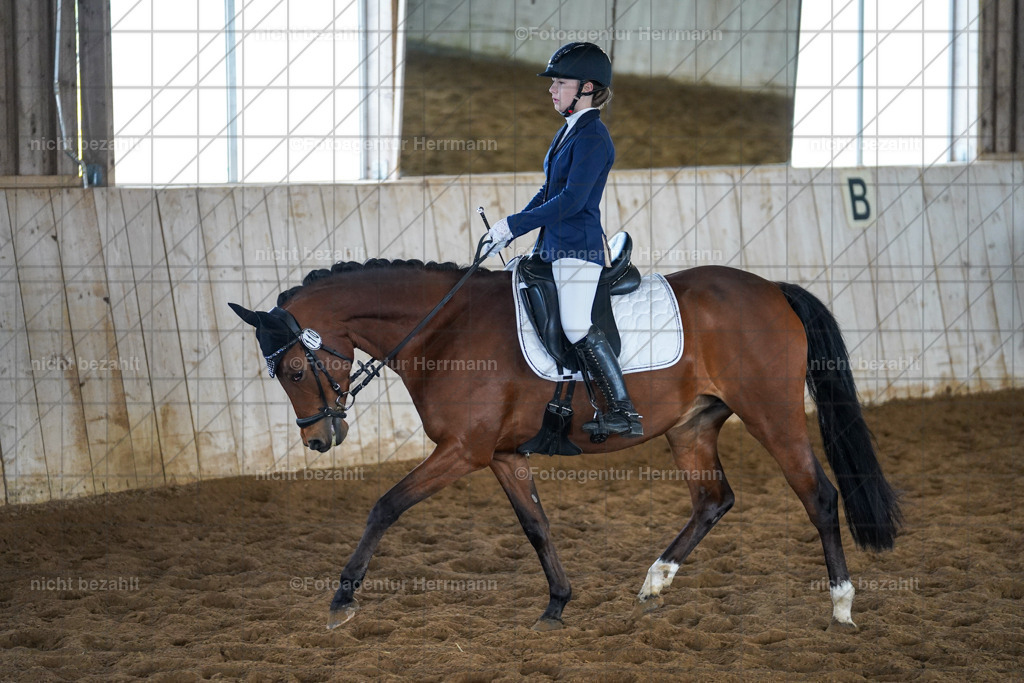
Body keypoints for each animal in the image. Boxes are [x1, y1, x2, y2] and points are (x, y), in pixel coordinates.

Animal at [229, 257, 901, 632]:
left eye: (294, 370)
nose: (320, 439)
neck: (446, 328)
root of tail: (771, 289)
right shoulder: (501, 455)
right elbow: (537, 526)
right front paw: (556, 605)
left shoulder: (463, 451)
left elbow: (385, 506)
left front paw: (342, 598)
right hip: (691, 426)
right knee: (714, 501)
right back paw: (655, 581)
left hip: (773, 414)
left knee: (819, 496)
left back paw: (841, 606)